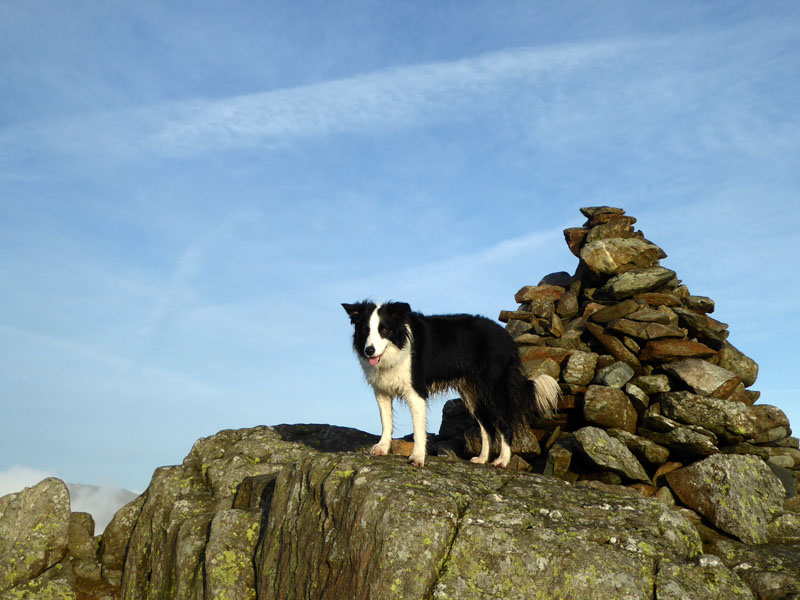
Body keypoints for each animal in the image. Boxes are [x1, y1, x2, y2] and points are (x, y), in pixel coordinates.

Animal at [340, 302, 560, 466]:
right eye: (365, 330)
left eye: (384, 330)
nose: (369, 350)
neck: (397, 348)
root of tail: (506, 336)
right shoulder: (382, 391)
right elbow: (386, 422)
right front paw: (382, 448)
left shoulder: (416, 391)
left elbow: (418, 428)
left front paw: (417, 457)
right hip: (471, 394)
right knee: (487, 427)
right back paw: (482, 459)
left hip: (494, 388)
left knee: (505, 423)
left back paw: (502, 461)